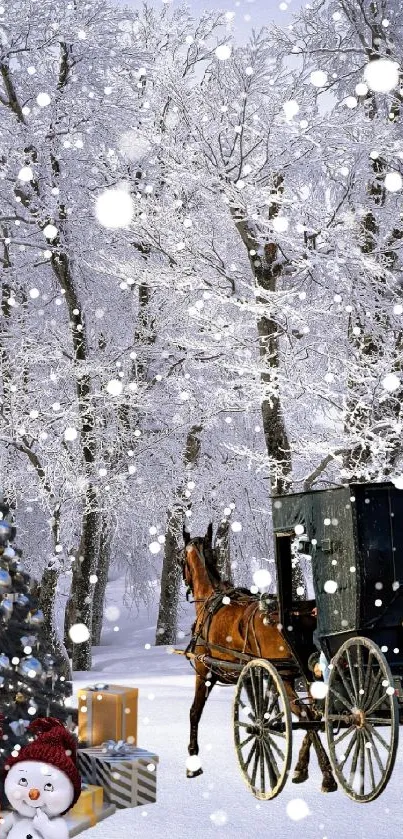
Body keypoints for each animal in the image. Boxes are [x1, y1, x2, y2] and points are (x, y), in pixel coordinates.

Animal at [180, 524, 338, 796]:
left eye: (180, 559)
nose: (184, 581)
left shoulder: (204, 671)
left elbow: (194, 712)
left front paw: (193, 763)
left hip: (285, 676)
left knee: (306, 715)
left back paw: (325, 776)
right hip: (304, 675)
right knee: (315, 715)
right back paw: (304, 769)